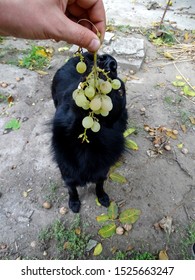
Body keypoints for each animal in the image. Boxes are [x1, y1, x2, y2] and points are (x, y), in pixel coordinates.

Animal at [51, 52, 128, 212]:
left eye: (120, 91)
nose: (110, 61)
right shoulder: (67, 173)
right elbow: (72, 189)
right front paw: (74, 202)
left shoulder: (102, 171)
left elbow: (99, 184)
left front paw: (102, 196)